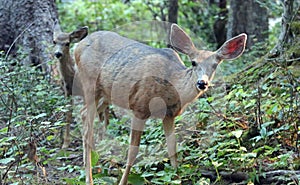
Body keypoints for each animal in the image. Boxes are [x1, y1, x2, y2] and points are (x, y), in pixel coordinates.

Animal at [74, 23, 247, 184]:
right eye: (193, 62)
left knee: (85, 114)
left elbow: (172, 148)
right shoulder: (140, 107)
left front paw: (177, 177)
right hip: (89, 82)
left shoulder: (169, 115)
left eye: (215, 65)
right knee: (87, 123)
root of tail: (78, 46)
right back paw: (89, 177)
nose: (202, 83)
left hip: (106, 94)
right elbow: (133, 152)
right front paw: (123, 182)